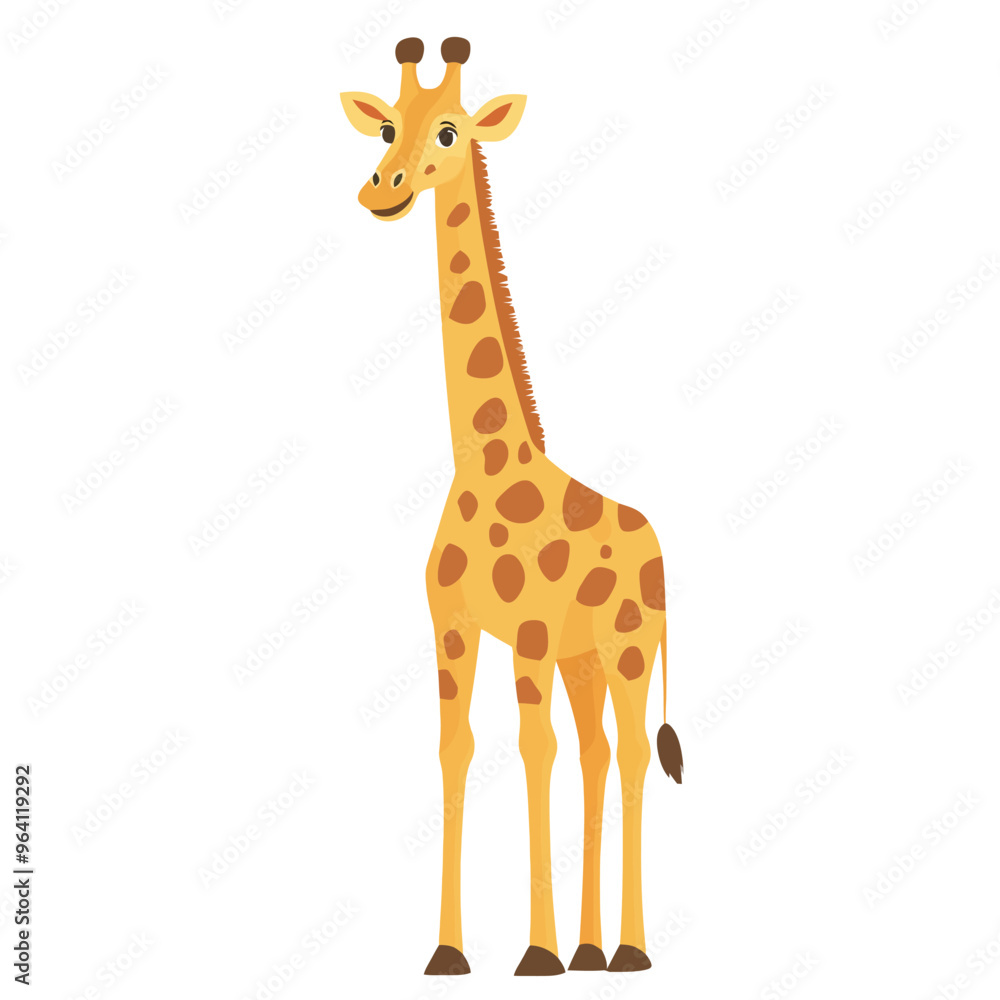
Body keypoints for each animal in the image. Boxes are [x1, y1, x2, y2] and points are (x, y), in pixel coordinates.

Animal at [341, 37, 683, 977]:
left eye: (450, 130)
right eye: (385, 124)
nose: (382, 187)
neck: (485, 466)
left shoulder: (528, 632)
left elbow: (534, 752)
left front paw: (535, 952)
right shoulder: (454, 628)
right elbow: (457, 751)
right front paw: (450, 952)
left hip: (629, 650)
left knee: (629, 754)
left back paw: (628, 950)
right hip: (586, 660)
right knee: (597, 753)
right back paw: (595, 948)